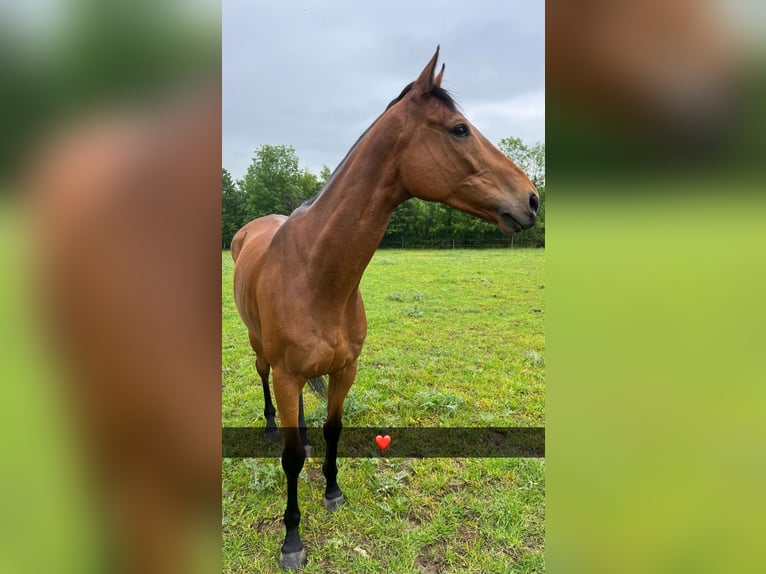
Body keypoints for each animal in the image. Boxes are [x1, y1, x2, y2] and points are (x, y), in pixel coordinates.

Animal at [232, 48, 540, 572]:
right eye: (459, 129)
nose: (533, 199)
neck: (315, 274)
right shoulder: (289, 373)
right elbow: (290, 461)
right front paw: (292, 540)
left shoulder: (345, 369)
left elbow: (333, 430)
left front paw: (332, 491)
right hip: (261, 351)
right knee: (264, 381)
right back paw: (273, 426)